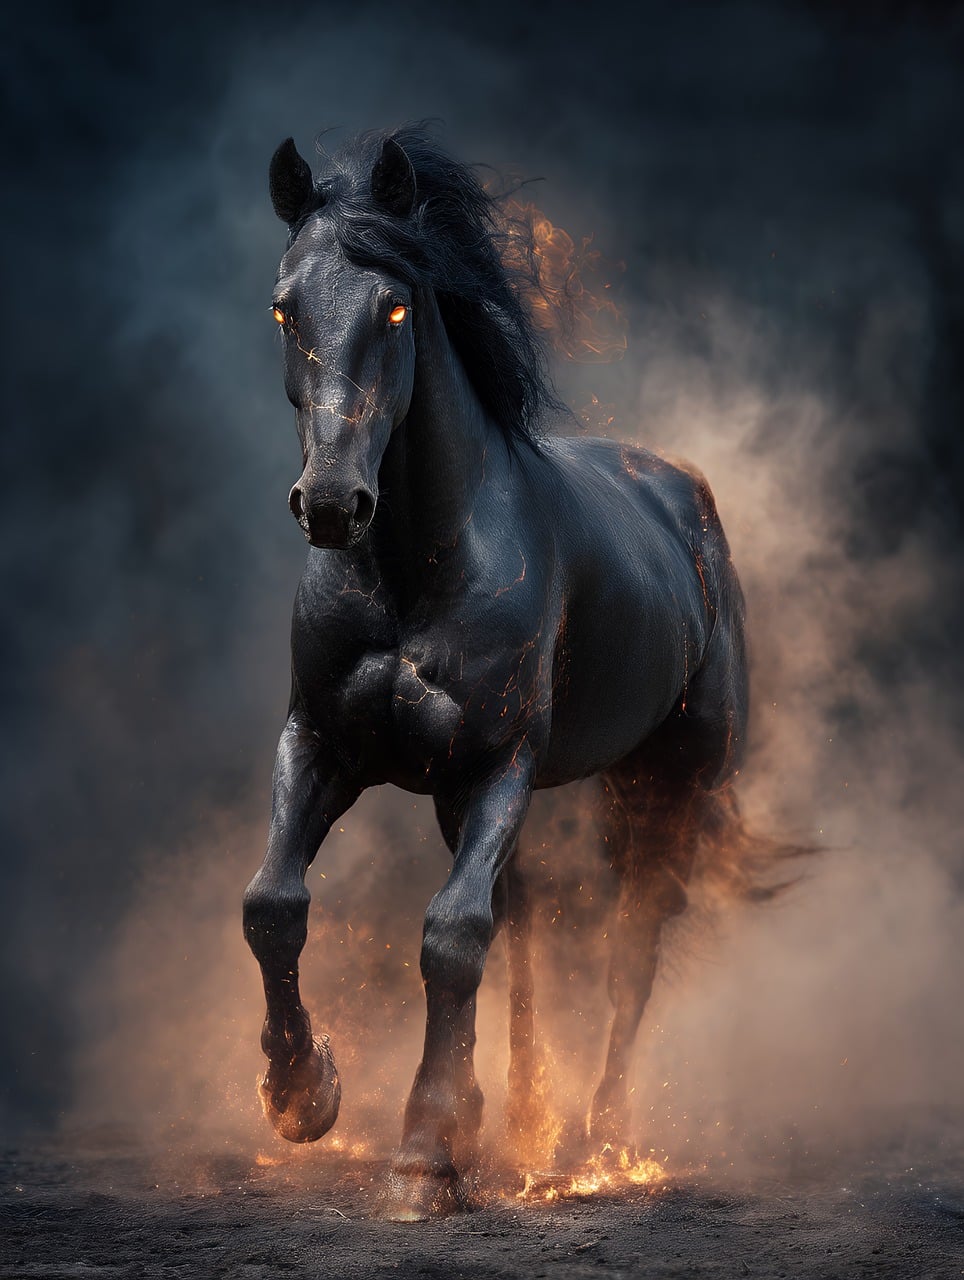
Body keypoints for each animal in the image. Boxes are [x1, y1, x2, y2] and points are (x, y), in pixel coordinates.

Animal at [242, 125, 757, 1221]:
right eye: (284, 307)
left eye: (396, 305)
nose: (333, 503)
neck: (415, 567)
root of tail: (683, 497)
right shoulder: (321, 742)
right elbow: (274, 904)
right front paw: (303, 1095)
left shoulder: (499, 766)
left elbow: (450, 936)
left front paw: (422, 1157)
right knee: (519, 934)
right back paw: (517, 1118)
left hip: (667, 787)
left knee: (628, 954)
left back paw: (600, 1140)